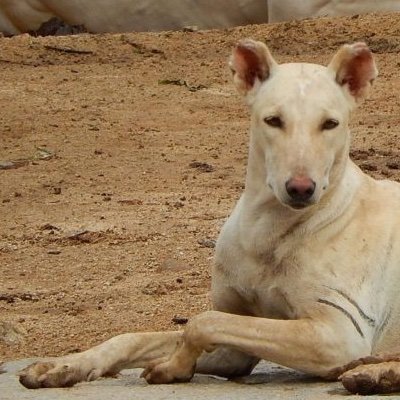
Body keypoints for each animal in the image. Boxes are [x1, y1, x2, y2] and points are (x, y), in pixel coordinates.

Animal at [19, 39, 400, 396]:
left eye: (330, 124)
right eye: (273, 121)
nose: (301, 189)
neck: (267, 229)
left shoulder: (337, 333)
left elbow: (200, 323)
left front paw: (174, 366)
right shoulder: (236, 350)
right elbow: (137, 337)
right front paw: (66, 365)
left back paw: (375, 373)